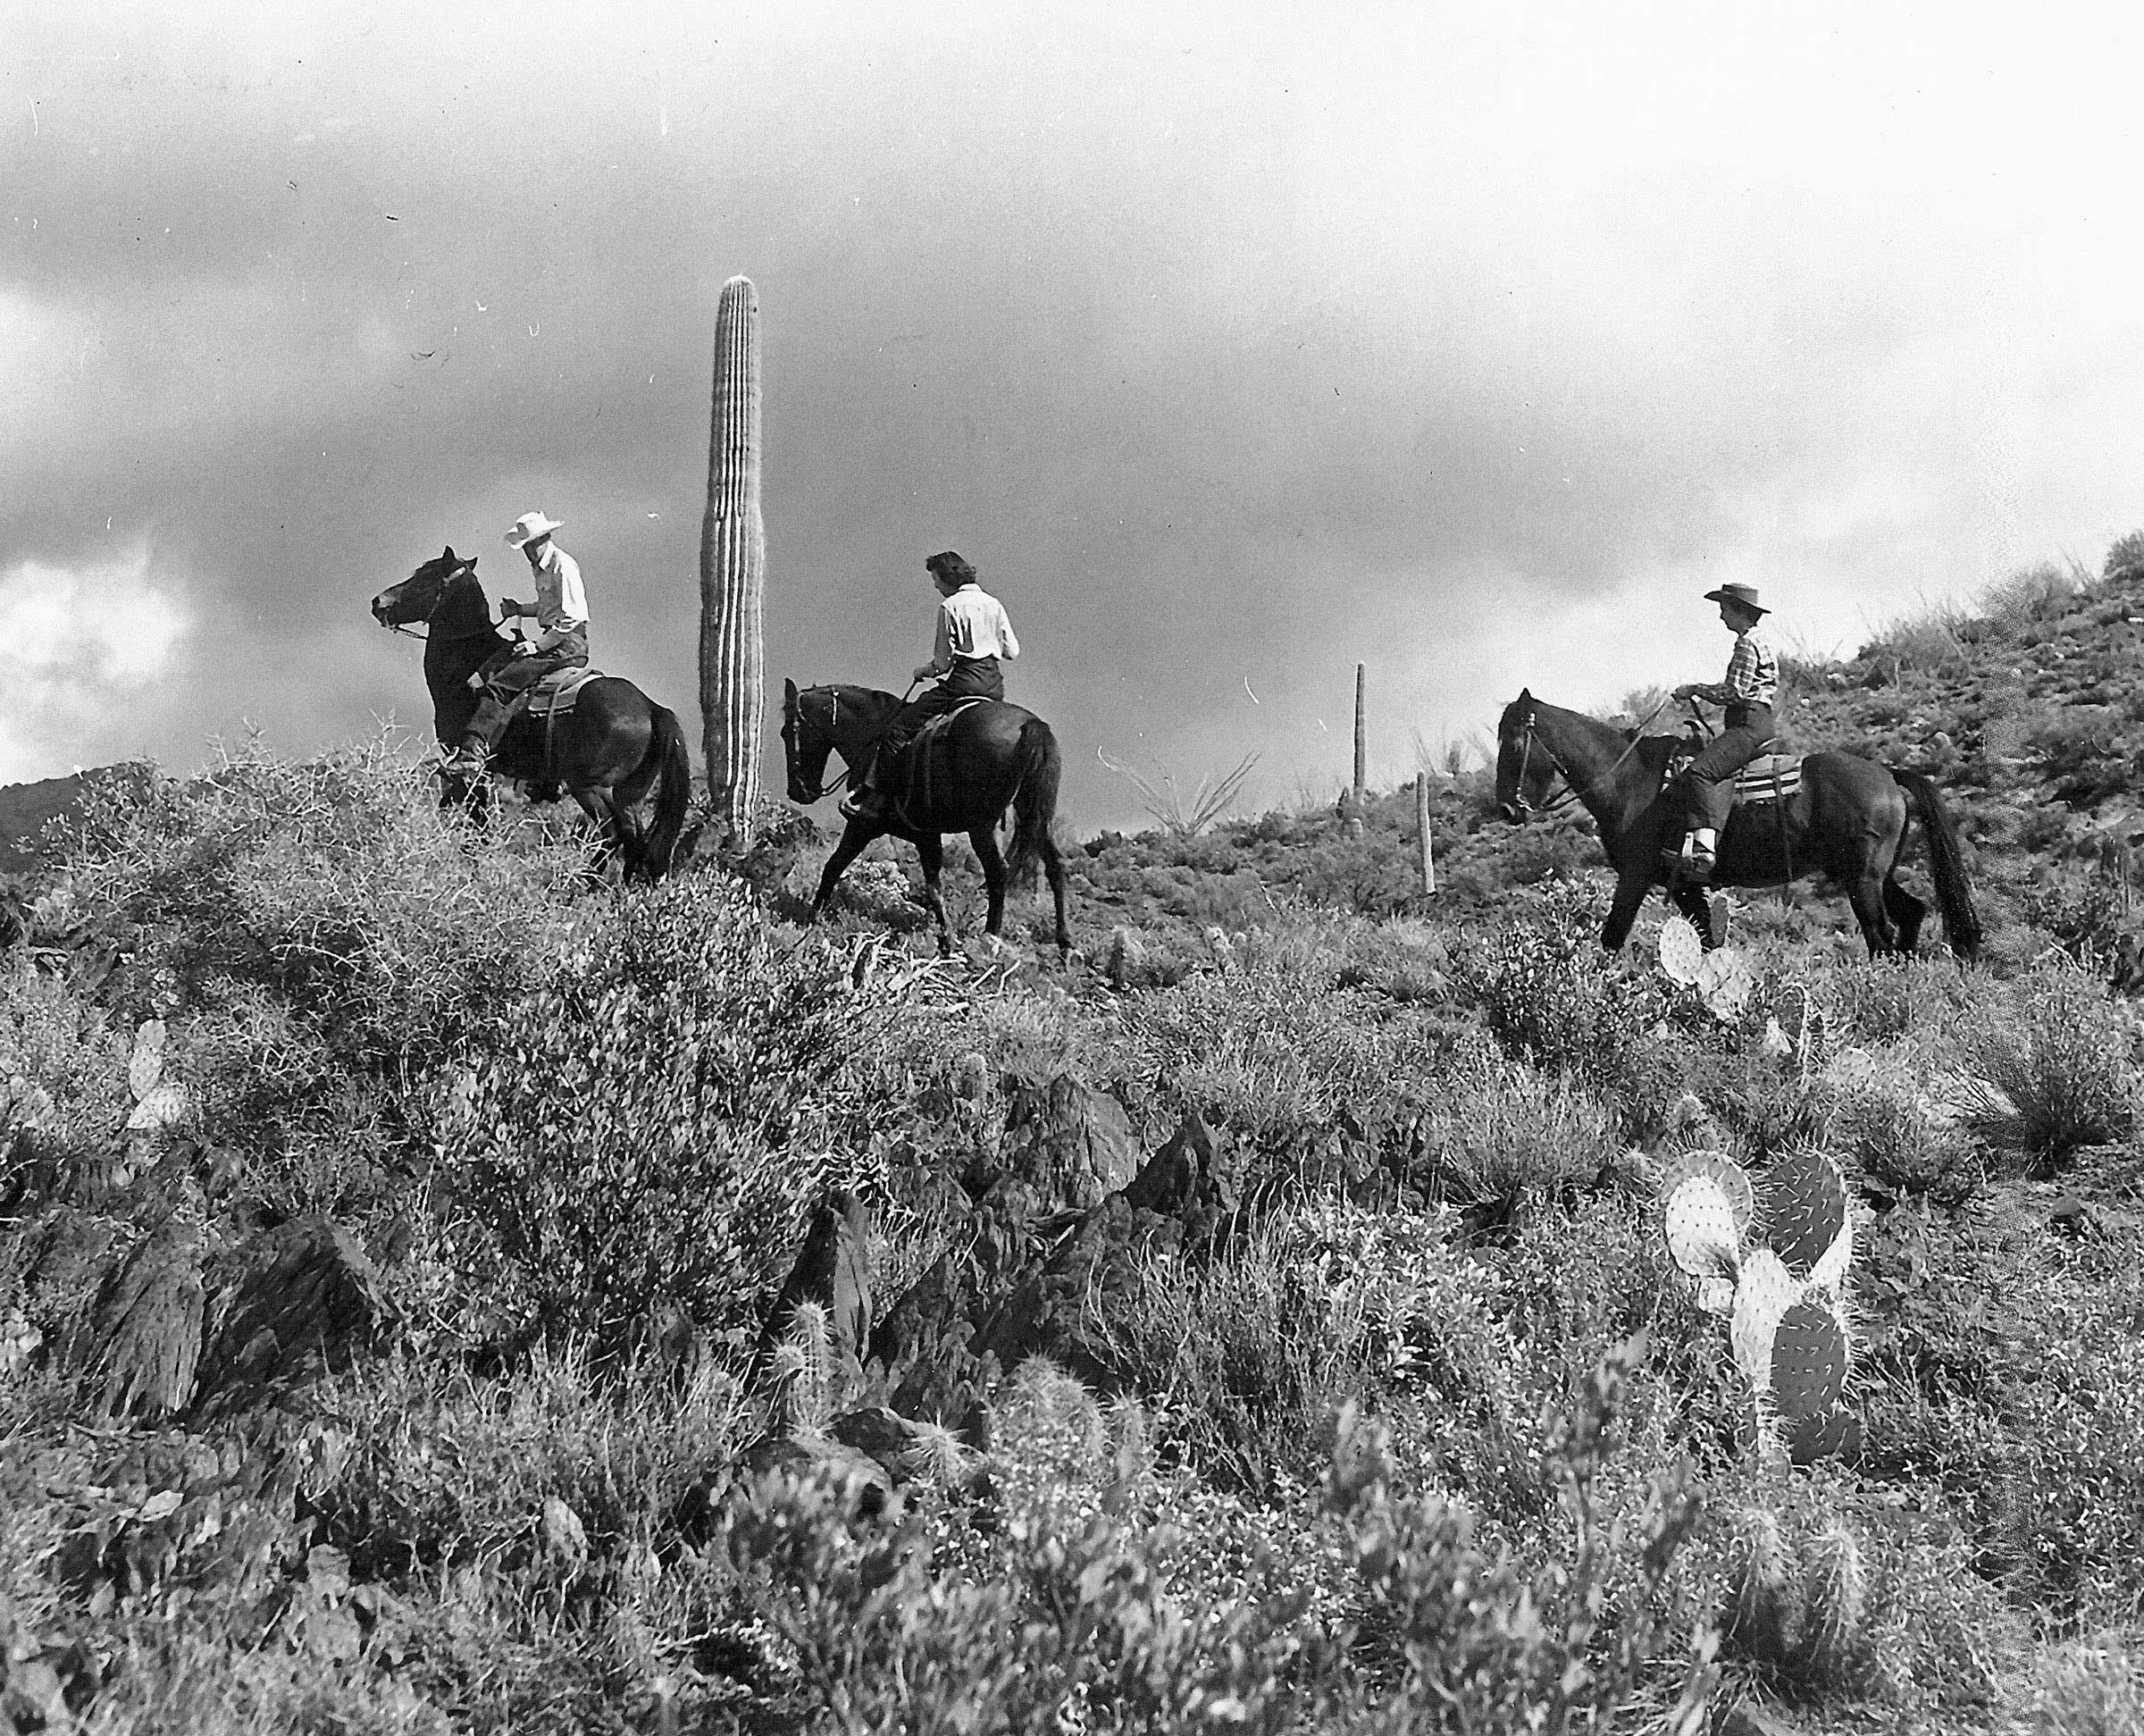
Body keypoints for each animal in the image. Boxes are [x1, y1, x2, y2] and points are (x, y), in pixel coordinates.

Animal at [373, 549, 690, 878]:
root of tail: (651, 708)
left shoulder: (474, 772)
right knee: (634, 840)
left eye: (426, 577)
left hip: (593, 787)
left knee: (613, 834)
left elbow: (477, 825)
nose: (378, 602)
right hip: (628, 793)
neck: (466, 665)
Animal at [780, 677, 1072, 955]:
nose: (797, 791)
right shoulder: (927, 836)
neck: (872, 734)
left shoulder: (862, 826)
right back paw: (1065, 946)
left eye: (787, 732)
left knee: (998, 873)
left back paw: (990, 938)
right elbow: (934, 889)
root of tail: (1031, 725)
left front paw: (811, 918)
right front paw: (946, 942)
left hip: (981, 827)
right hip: (1035, 817)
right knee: (1055, 867)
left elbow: (833, 866)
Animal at [1492, 690, 1972, 960]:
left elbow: (1612, 938)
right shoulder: (1684, 885)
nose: (1508, 808)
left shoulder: (1635, 876)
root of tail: (1888, 775)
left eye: (1514, 743)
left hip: (1863, 879)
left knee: (1880, 933)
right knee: (1911, 913)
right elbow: (1707, 940)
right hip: (1872, 873)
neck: (1631, 780)